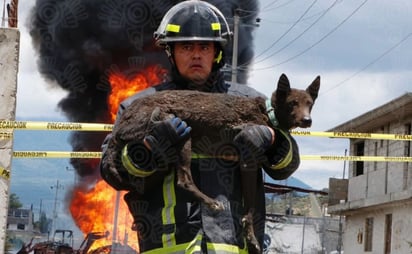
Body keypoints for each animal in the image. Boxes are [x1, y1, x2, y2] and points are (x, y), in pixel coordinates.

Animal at [104, 72, 320, 253]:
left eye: (309, 103)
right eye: (293, 103)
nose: (308, 120)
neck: (268, 112)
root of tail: (119, 126)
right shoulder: (247, 159)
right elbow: (249, 209)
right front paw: (251, 239)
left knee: (137, 190)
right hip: (180, 134)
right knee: (183, 181)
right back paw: (212, 203)